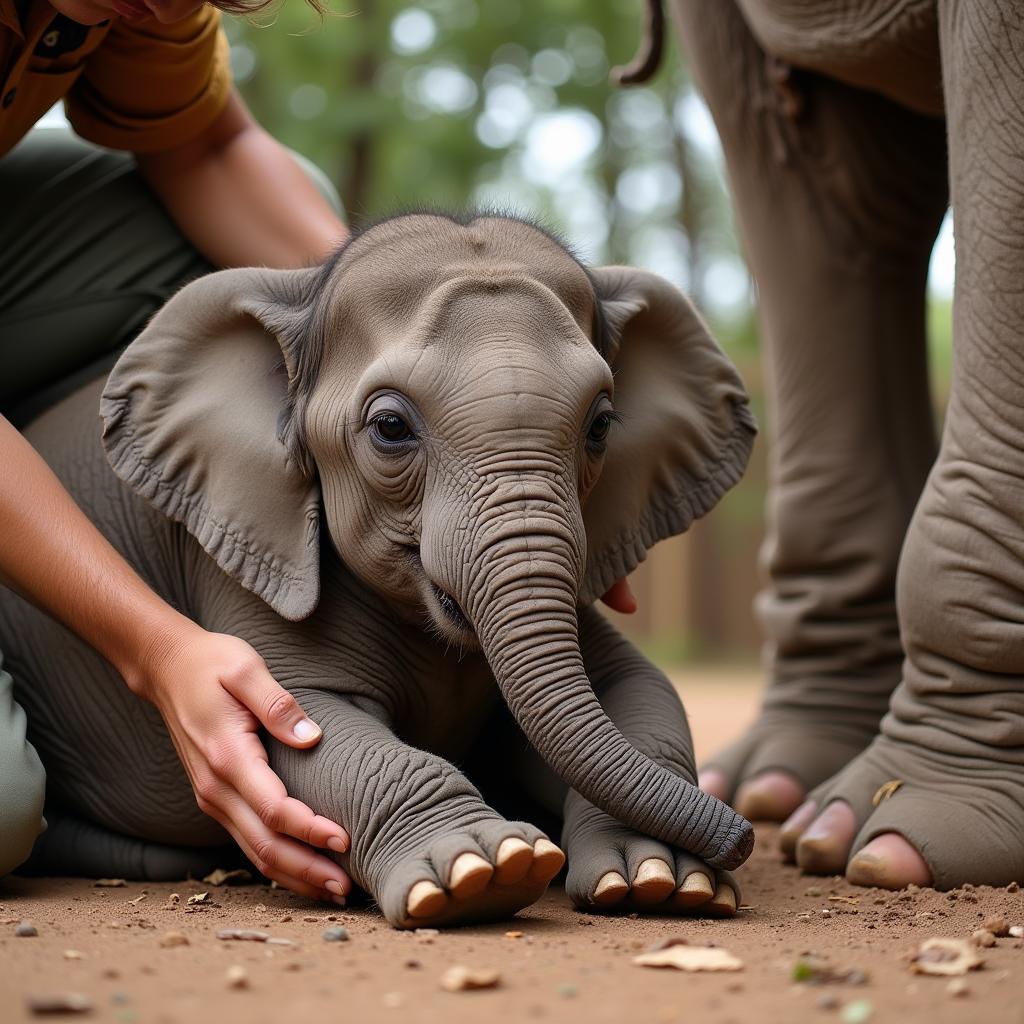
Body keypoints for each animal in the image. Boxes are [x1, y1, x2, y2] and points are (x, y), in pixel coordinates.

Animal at [2, 214, 753, 929]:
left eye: (600, 426)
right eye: (390, 428)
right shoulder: (240, 548)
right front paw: (482, 875)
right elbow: (306, 724)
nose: (743, 836)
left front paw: (659, 881)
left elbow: (639, 689)